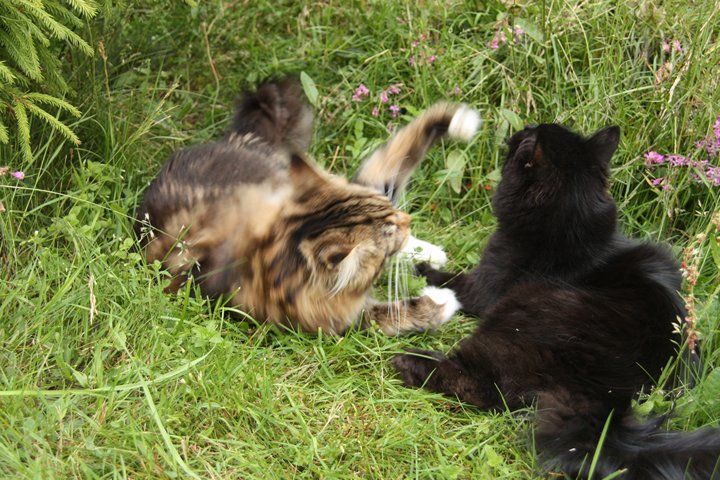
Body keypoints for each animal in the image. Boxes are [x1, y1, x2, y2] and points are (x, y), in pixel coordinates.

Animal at [134, 77, 478, 335]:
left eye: (393, 216)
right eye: (390, 232)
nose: (406, 220)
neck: (273, 252)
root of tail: (235, 139)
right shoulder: (336, 321)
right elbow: (392, 316)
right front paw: (443, 300)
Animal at [393, 123, 720, 479]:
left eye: (525, 137)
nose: (517, 131)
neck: (572, 226)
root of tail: (610, 398)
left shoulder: (482, 285)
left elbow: (449, 279)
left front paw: (417, 267)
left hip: (519, 312)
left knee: (482, 386)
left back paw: (410, 361)